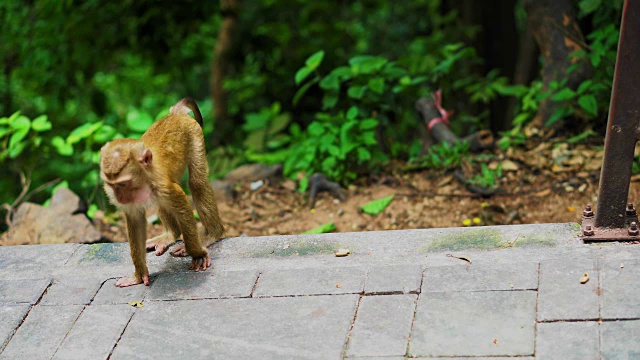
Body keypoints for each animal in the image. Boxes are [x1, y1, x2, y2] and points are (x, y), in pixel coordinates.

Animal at [99, 97, 225, 286]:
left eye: (122, 184)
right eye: (111, 184)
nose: (119, 197)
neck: (143, 178)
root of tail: (174, 114)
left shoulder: (163, 186)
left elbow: (182, 207)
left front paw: (197, 254)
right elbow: (136, 221)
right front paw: (139, 275)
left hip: (194, 133)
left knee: (198, 183)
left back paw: (212, 235)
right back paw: (170, 235)